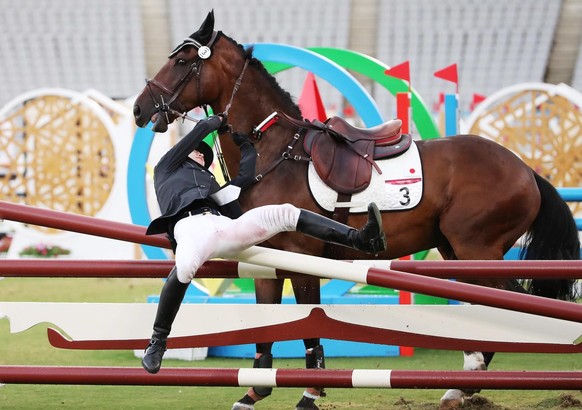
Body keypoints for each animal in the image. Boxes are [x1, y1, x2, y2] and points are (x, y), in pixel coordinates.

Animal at [135, 11, 580, 410]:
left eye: (181, 62)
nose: (140, 109)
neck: (274, 150)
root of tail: (527, 170)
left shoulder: (302, 258)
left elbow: (309, 326)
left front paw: (311, 394)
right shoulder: (265, 261)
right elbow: (264, 327)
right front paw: (255, 391)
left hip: (478, 251)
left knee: (517, 307)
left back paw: (469, 384)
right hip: (457, 253)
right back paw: (461, 385)